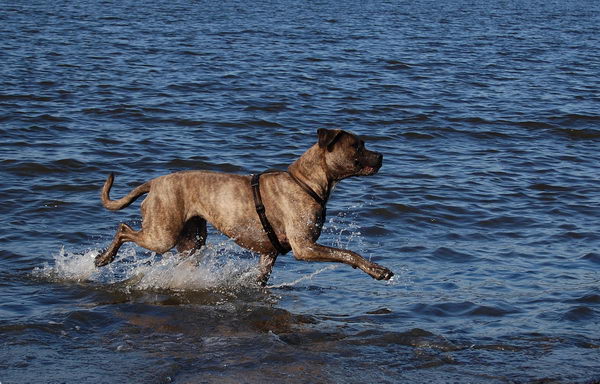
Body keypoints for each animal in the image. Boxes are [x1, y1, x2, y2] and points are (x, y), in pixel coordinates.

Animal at [95, 129, 394, 284]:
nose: (381, 156)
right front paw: (376, 269)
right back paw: (104, 258)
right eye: (358, 146)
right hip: (162, 235)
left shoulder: (268, 256)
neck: (305, 181)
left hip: (191, 240)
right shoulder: (305, 247)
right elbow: (348, 253)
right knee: (123, 228)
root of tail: (154, 182)